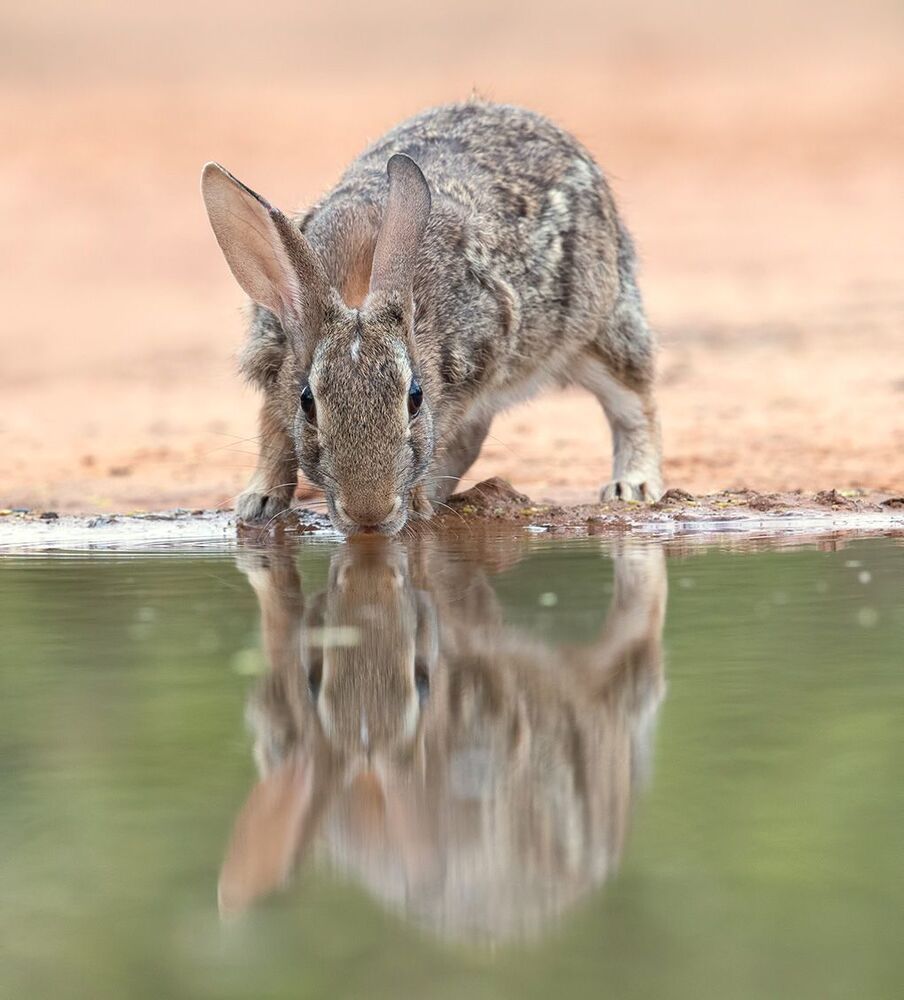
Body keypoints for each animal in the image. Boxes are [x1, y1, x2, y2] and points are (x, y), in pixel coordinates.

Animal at [201, 100, 663, 536]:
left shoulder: (469, 372)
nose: (369, 514)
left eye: (415, 398)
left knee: (634, 400)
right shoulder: (273, 361)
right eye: (308, 402)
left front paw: (418, 503)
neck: (356, 289)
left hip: (599, 329)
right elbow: (274, 436)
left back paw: (633, 486)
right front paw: (258, 502)